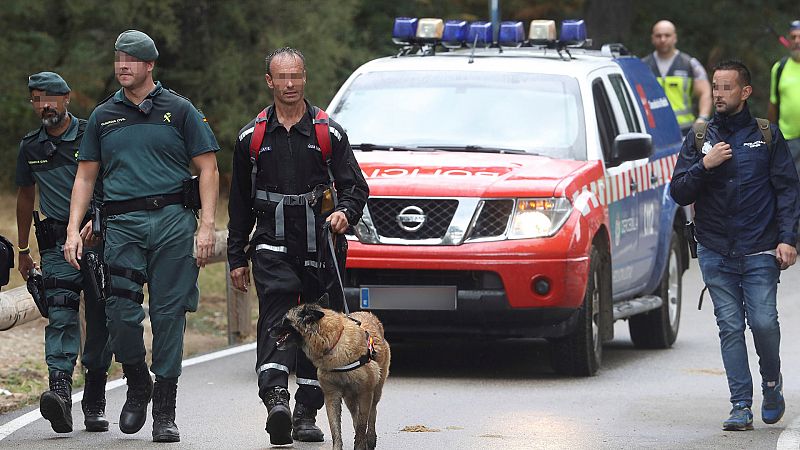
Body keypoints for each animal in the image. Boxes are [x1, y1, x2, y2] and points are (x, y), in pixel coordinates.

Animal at [272, 302, 390, 450]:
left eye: (285, 320)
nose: (269, 330)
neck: (334, 343)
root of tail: (368, 313)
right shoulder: (332, 396)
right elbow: (336, 430)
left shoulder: (365, 393)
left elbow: (363, 424)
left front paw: (361, 443)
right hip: (350, 398)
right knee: (355, 416)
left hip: (375, 392)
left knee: (372, 413)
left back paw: (370, 438)